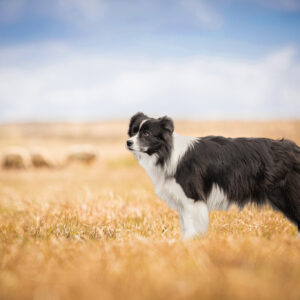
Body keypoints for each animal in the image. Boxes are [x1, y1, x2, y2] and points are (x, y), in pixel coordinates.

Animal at [126, 112, 300, 239]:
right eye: (133, 131)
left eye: (146, 133)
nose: (128, 142)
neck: (167, 152)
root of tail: (295, 149)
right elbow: (185, 224)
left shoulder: (192, 197)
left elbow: (190, 225)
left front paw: (188, 243)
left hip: (287, 195)